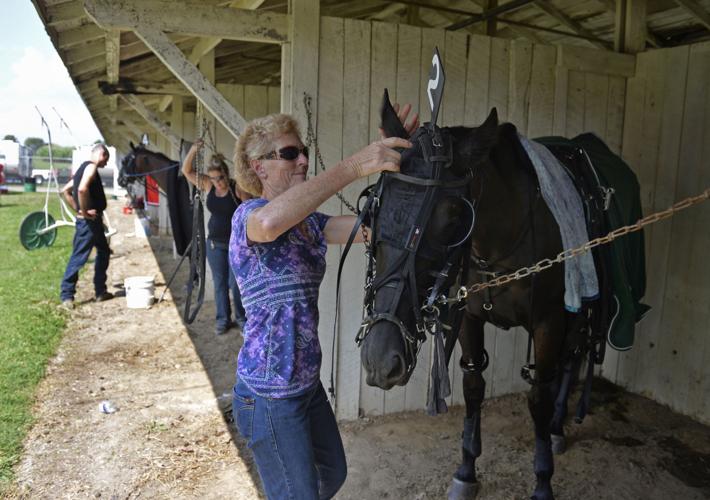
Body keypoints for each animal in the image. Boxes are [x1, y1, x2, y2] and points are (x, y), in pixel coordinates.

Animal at [358, 98, 608, 500]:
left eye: (452, 218)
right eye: (375, 208)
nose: (380, 359)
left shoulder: (549, 321)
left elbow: (538, 395)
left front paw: (543, 481)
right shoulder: (469, 318)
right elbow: (473, 386)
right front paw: (466, 470)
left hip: (578, 307)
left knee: (572, 357)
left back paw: (556, 427)